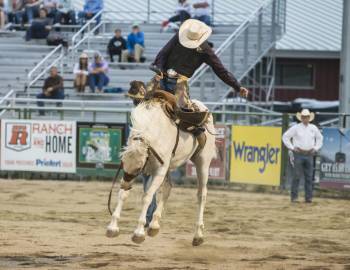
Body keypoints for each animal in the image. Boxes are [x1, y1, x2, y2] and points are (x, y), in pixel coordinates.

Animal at [106, 98, 216, 246]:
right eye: (123, 163)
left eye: (139, 167)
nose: (125, 185)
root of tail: (202, 107)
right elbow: (123, 195)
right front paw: (112, 228)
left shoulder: (159, 171)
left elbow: (147, 197)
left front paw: (139, 232)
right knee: (168, 188)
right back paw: (154, 226)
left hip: (203, 162)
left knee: (201, 195)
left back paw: (198, 235)